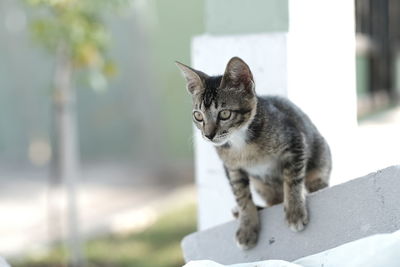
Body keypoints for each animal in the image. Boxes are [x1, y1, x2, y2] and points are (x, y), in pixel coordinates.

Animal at [177, 57, 332, 251]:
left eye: (225, 114)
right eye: (198, 116)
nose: (208, 135)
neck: (240, 142)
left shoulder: (295, 140)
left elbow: (292, 179)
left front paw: (295, 211)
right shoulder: (232, 168)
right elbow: (241, 195)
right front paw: (247, 227)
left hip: (320, 159)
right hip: (261, 185)